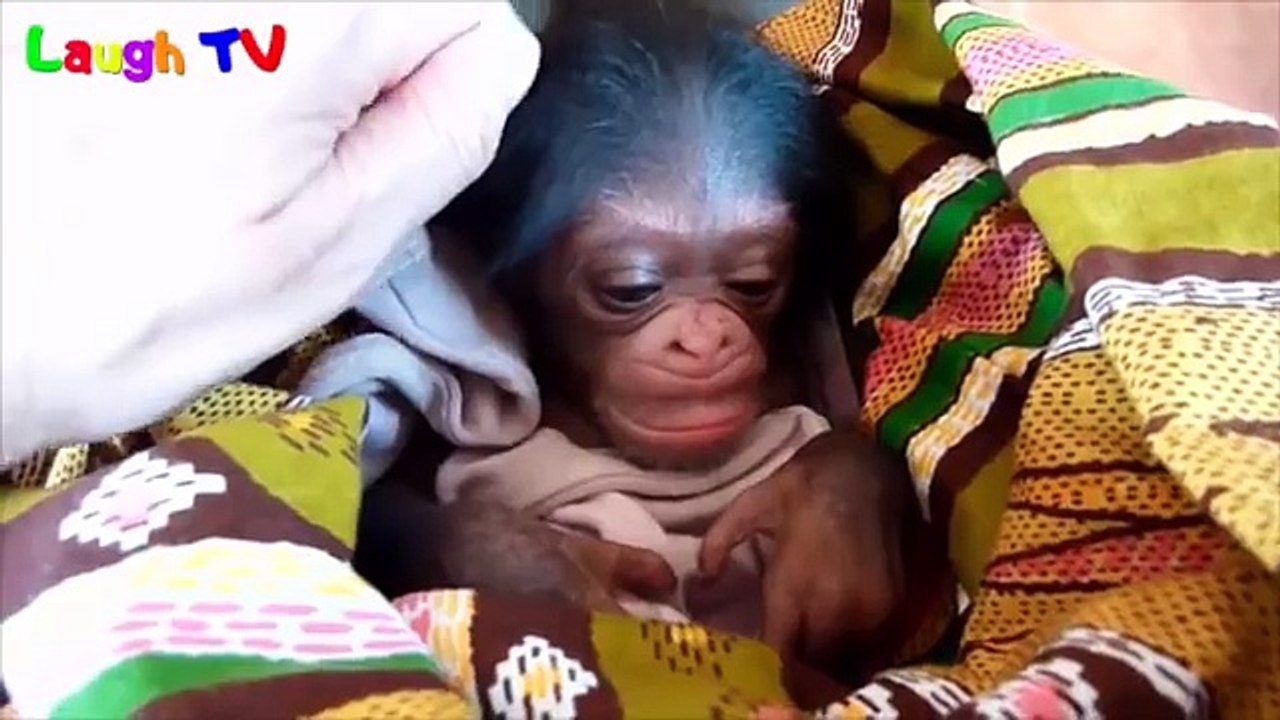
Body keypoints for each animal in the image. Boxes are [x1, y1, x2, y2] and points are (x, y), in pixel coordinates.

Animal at [354, 0, 919, 680]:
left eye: (752, 285)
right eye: (630, 290)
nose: (704, 340)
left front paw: (828, 528)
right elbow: (376, 507)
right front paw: (537, 568)